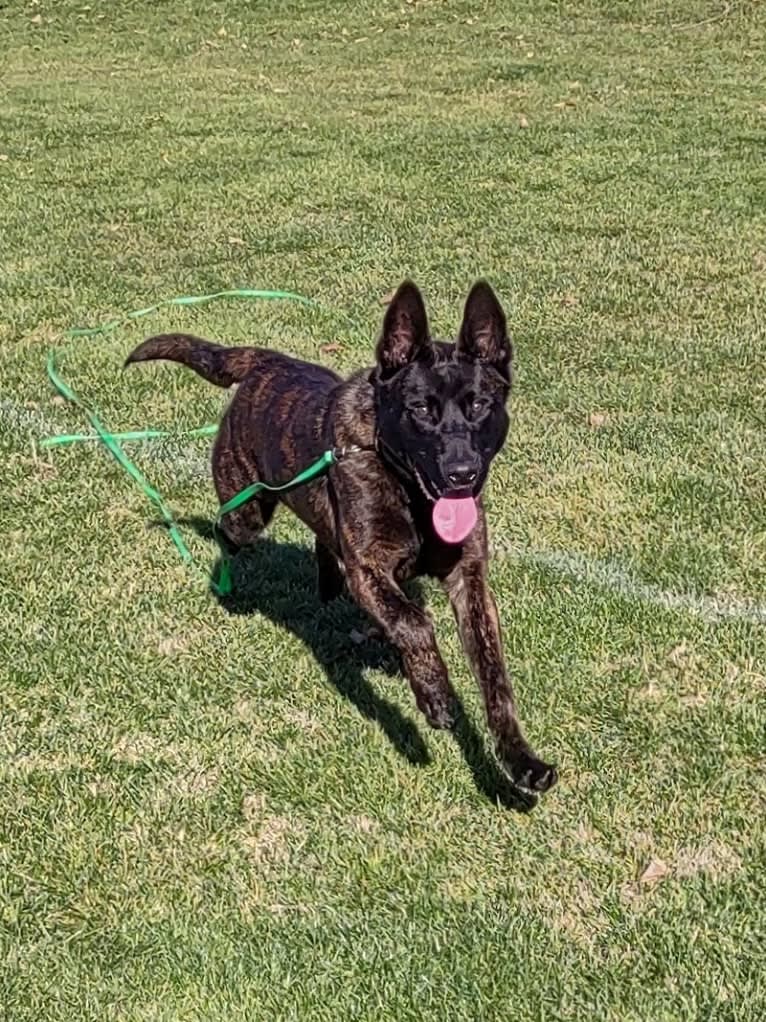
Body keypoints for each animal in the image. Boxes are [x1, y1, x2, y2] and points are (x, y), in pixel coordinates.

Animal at [126, 282, 559, 797]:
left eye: (479, 405)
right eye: (420, 410)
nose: (461, 473)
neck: (409, 493)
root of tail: (266, 361)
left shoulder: (468, 579)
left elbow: (495, 680)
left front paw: (520, 761)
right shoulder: (369, 569)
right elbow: (414, 623)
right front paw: (435, 694)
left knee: (323, 540)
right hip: (247, 512)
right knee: (226, 531)